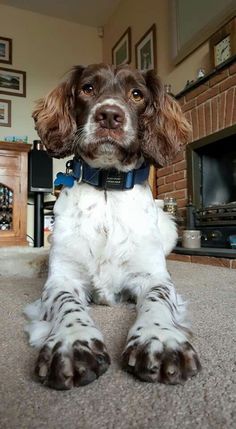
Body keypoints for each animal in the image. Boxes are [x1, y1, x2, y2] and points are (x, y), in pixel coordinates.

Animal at [24, 62, 201, 388]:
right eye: (88, 88)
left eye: (137, 94)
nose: (108, 115)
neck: (108, 189)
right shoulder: (63, 278)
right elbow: (67, 304)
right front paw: (73, 342)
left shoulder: (153, 277)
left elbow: (157, 301)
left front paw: (159, 339)